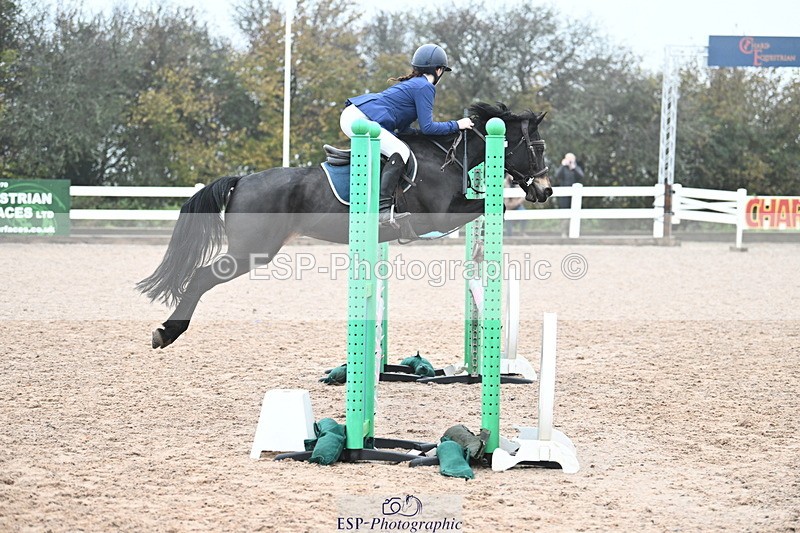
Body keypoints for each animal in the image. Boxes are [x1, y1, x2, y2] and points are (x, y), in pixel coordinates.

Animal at [137, 102, 552, 349]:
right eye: (538, 148)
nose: (545, 190)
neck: (445, 157)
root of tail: (242, 179)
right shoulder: (441, 213)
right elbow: (490, 208)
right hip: (250, 252)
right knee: (201, 277)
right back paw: (167, 332)